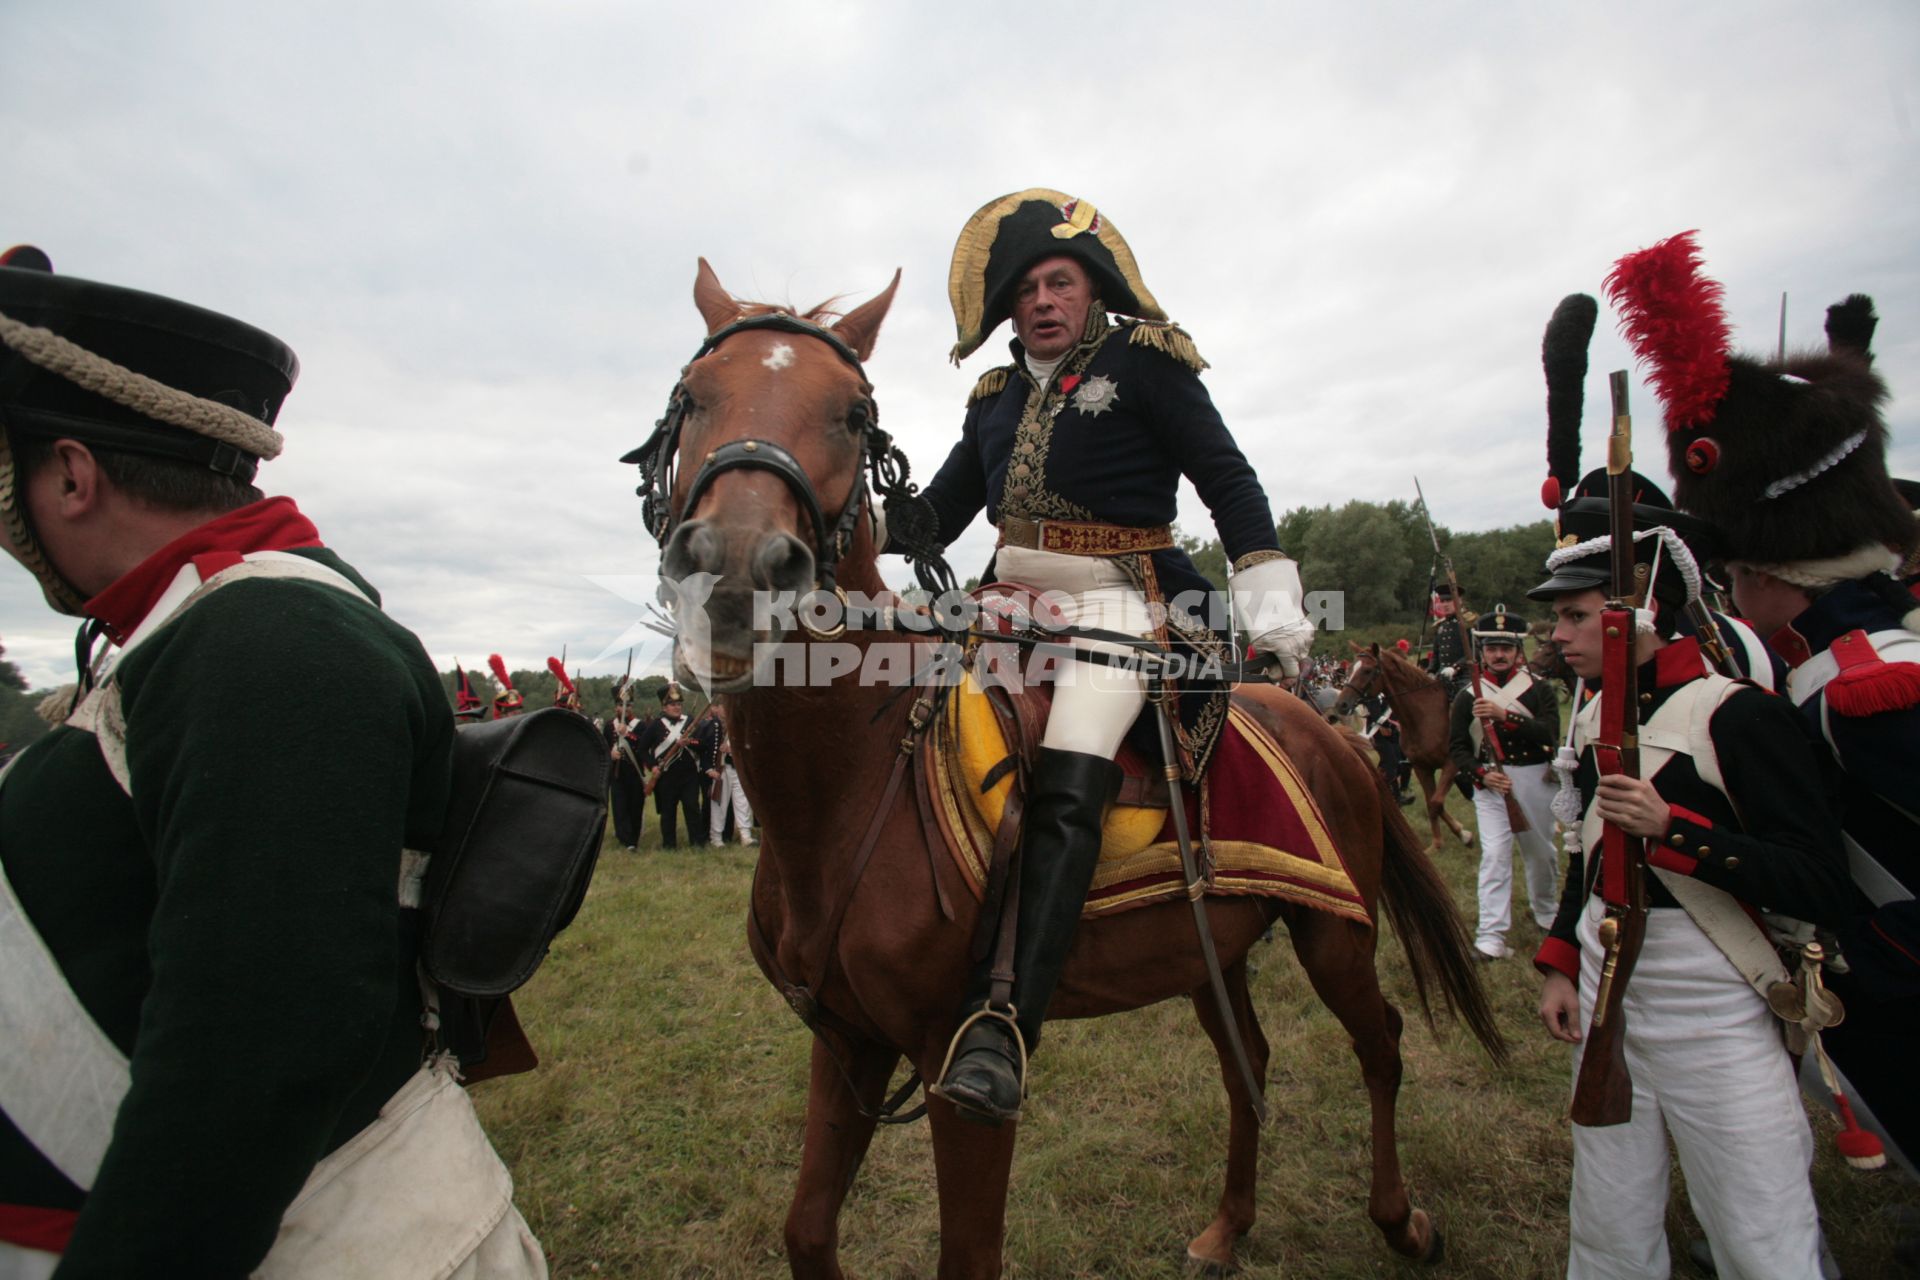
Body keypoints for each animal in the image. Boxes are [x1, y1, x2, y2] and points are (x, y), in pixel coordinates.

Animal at [1336, 640, 1466, 859]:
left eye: (1367, 670)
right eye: (1350, 669)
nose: (1342, 704)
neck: (1424, 715)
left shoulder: (1451, 763)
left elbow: (1436, 802)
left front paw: (1462, 834)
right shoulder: (1422, 767)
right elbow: (1433, 803)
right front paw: (1439, 843)